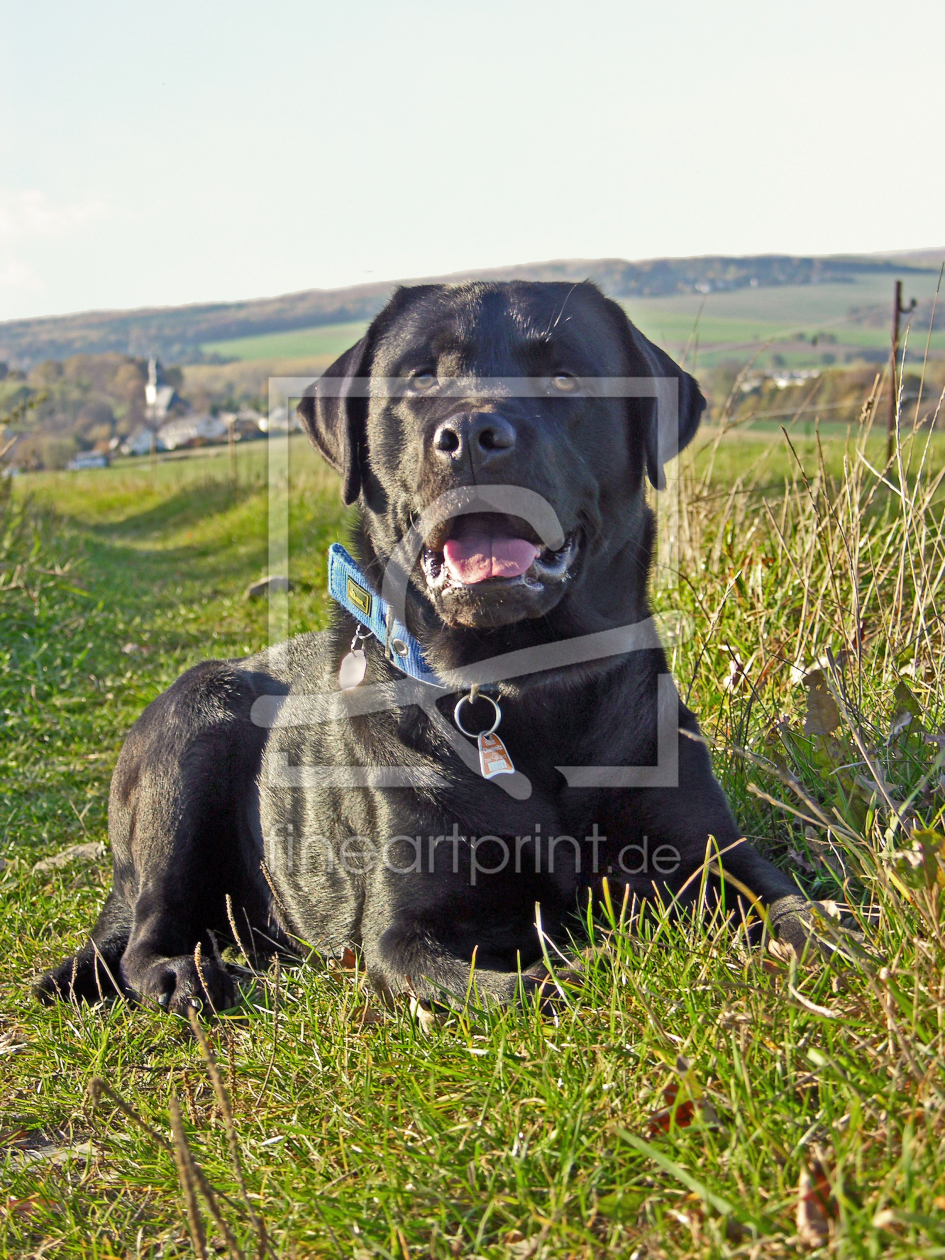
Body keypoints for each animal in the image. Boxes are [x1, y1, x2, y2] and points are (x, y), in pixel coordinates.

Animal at [37, 278, 816, 1013]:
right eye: (417, 378)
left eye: (564, 376)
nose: (471, 432)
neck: (515, 689)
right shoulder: (402, 934)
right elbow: (533, 986)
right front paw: (607, 968)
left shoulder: (711, 854)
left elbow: (801, 912)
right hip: (191, 725)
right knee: (144, 936)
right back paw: (184, 975)